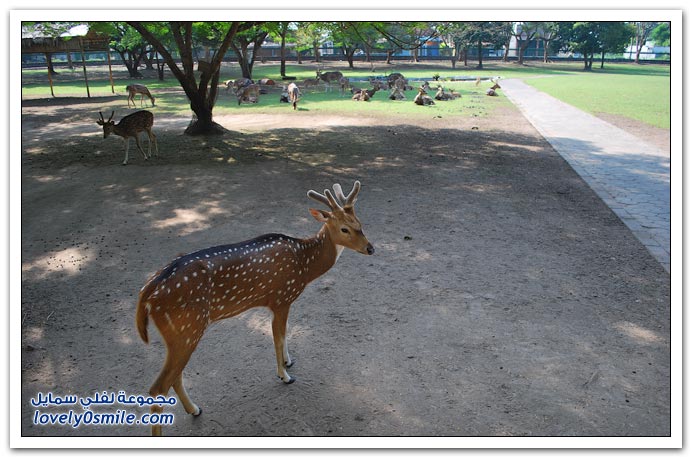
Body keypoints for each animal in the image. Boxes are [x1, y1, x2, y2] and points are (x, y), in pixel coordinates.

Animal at [135, 182, 374, 436]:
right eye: (344, 229)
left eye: (360, 223)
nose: (371, 248)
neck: (305, 265)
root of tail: (146, 294)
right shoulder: (282, 297)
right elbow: (278, 336)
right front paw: (285, 375)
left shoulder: (279, 303)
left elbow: (285, 333)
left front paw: (289, 361)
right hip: (187, 328)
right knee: (158, 387)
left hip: (178, 335)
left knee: (175, 377)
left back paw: (195, 409)